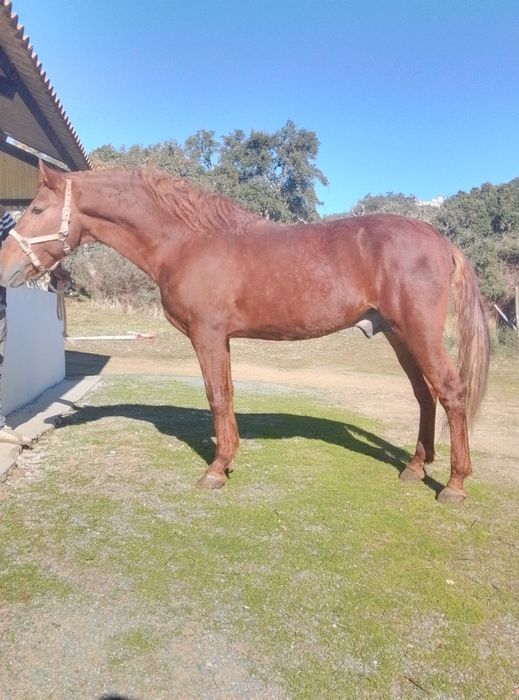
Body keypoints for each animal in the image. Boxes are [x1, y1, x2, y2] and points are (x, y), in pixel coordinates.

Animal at [0, 161, 490, 503]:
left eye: (37, 209)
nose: (6, 268)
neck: (186, 241)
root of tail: (442, 241)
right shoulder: (222, 339)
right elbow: (228, 394)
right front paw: (229, 460)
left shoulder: (207, 335)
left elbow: (217, 396)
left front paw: (215, 470)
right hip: (398, 335)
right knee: (425, 396)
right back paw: (414, 468)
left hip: (418, 333)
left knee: (450, 392)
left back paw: (455, 485)